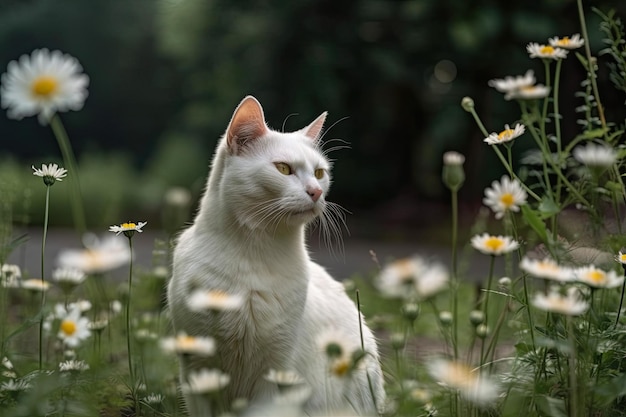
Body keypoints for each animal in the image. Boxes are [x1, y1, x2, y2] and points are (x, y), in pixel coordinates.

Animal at [166, 96, 382, 414]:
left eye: (320, 173)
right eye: (283, 169)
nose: (316, 192)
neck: (255, 255)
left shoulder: (276, 374)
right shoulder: (197, 371)